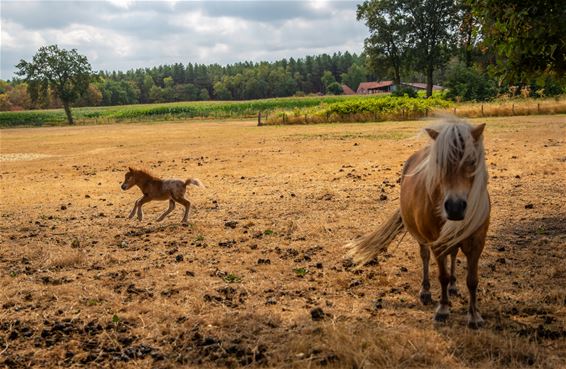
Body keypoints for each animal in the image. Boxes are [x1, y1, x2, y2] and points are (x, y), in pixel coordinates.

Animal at [348, 118, 490, 328]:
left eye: (472, 161)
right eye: (438, 162)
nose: (455, 207)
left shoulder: (477, 242)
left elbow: (472, 280)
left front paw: (474, 316)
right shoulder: (437, 244)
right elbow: (442, 276)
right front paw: (443, 309)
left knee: (453, 256)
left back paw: (454, 286)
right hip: (423, 238)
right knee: (425, 257)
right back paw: (426, 292)